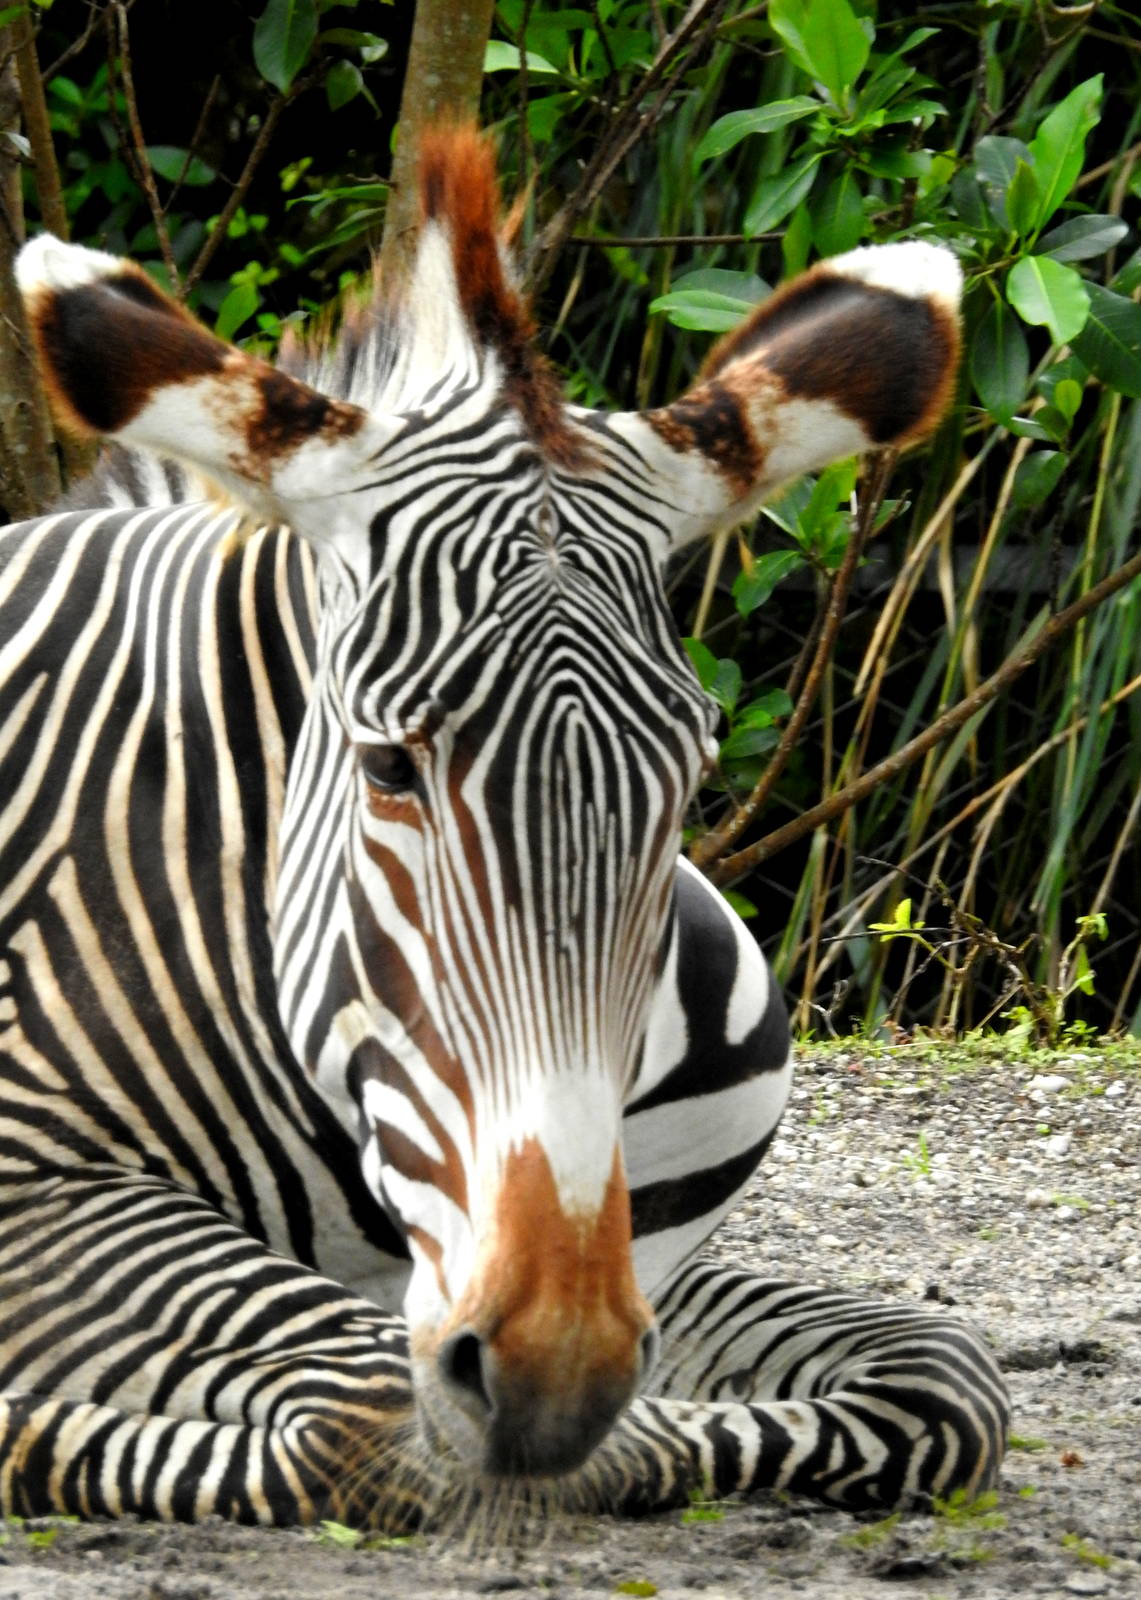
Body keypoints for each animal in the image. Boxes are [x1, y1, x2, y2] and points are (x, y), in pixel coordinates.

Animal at [0, 126, 1007, 1527]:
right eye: (387, 764)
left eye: (692, 770)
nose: (554, 1359)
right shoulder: (28, 1181)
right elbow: (365, 1416)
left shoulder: (639, 1246)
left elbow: (939, 1381)